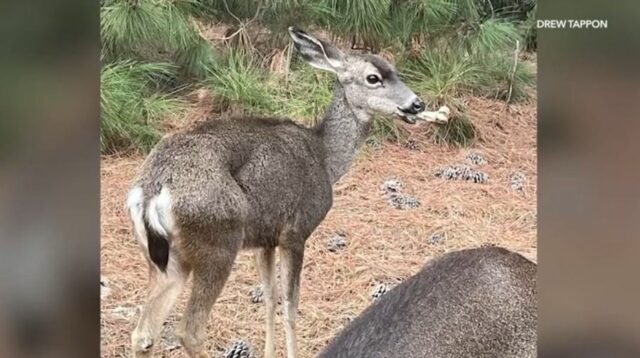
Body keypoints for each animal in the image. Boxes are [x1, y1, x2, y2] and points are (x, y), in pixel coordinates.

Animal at [127, 28, 428, 358]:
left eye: (394, 70)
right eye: (373, 77)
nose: (417, 104)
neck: (325, 158)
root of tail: (153, 188)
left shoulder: (265, 239)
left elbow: (270, 298)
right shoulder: (295, 231)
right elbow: (290, 306)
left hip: (164, 258)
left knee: (143, 333)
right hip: (218, 241)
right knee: (189, 330)